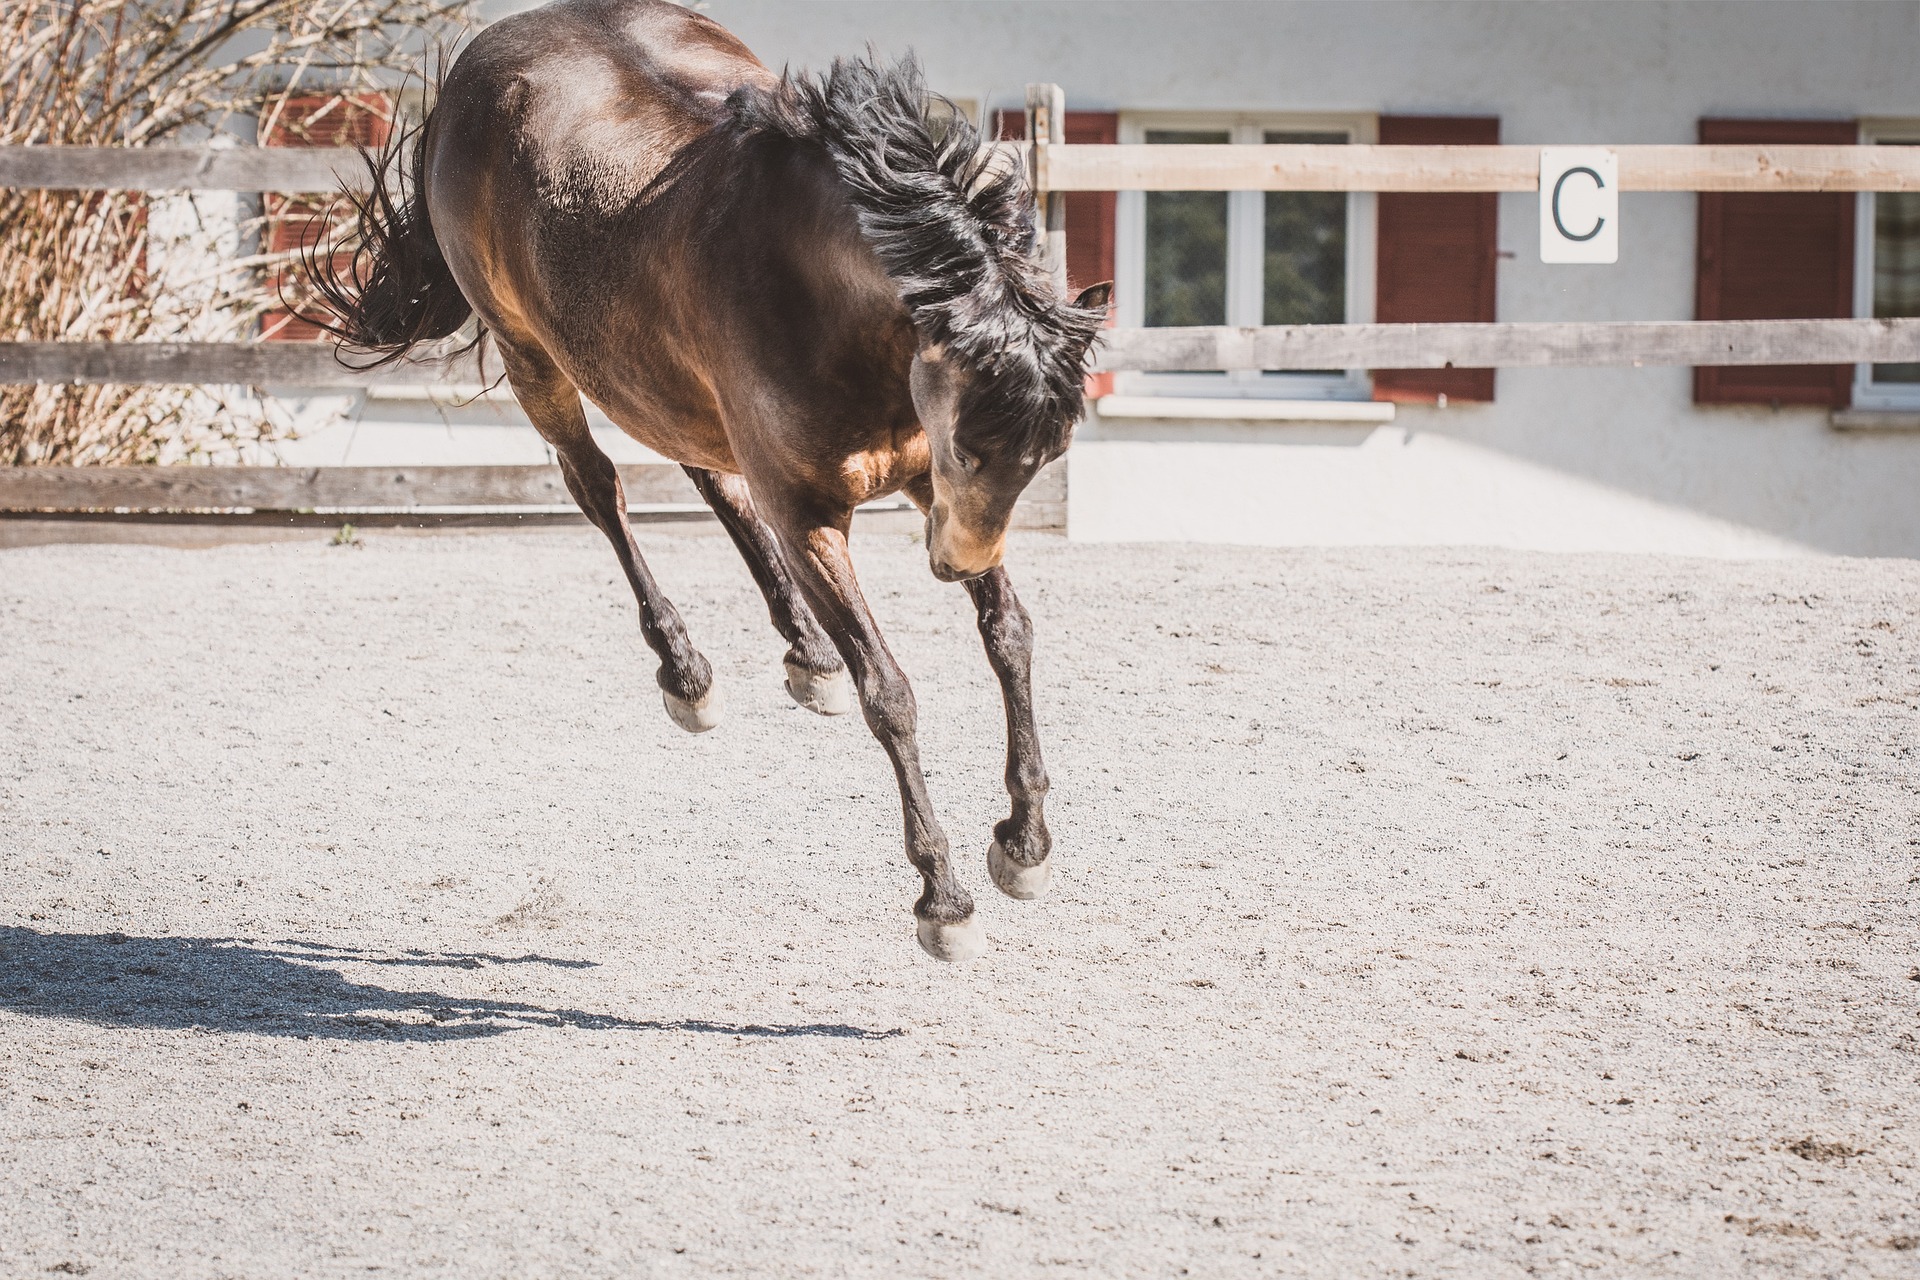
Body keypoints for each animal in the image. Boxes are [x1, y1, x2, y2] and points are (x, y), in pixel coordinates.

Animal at [309, 0, 1111, 961]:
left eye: (1047, 454)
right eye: (973, 444)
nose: (952, 566)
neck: (820, 289)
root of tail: (478, 60)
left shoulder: (930, 493)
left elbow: (1010, 636)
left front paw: (1024, 845)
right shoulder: (815, 515)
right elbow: (890, 692)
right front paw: (943, 900)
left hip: (655, 376)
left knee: (709, 478)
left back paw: (805, 656)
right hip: (533, 353)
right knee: (600, 489)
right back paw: (687, 671)